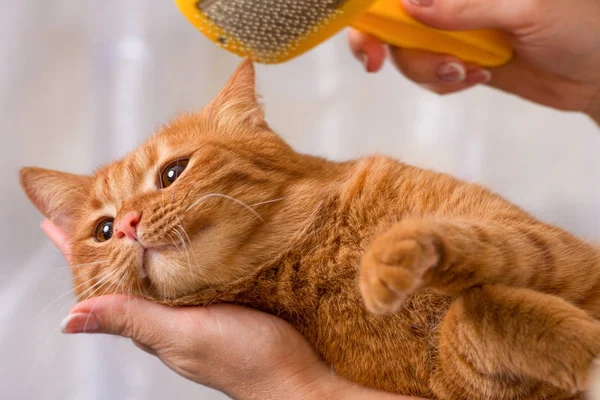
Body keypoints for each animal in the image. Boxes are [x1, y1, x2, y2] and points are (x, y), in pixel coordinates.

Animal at [18, 60, 600, 400]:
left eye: (172, 173)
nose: (129, 225)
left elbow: (485, 261)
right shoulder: (455, 383)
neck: (316, 253)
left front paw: (396, 253)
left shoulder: (558, 248)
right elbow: (470, 318)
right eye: (103, 230)